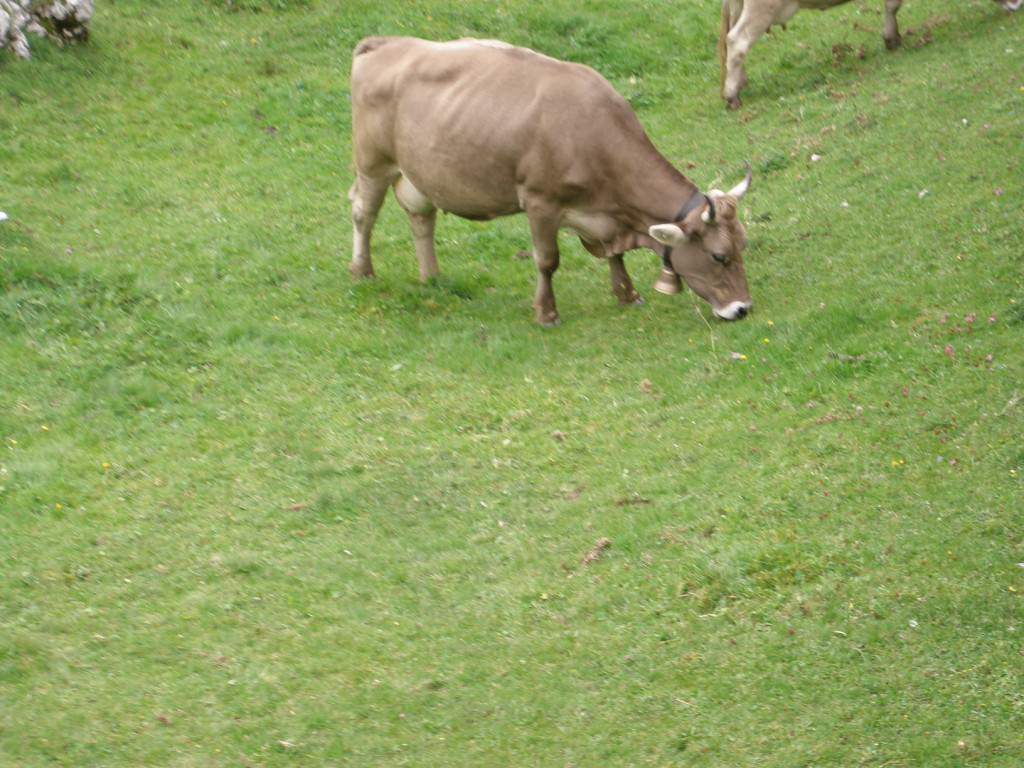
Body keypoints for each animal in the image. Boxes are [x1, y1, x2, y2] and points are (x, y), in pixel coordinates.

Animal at [348, 36, 757, 325]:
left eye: (743, 245)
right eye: (718, 256)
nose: (743, 308)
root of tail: (385, 42)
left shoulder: (606, 216)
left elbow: (615, 255)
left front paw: (627, 294)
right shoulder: (539, 201)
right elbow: (547, 260)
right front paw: (546, 313)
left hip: (417, 172)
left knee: (421, 217)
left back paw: (431, 277)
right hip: (372, 162)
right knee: (363, 211)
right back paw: (362, 271)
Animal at [720, 0, 1024, 109]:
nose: (1017, 4)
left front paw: (892, 37)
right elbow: (894, 5)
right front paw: (891, 38)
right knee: (737, 40)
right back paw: (732, 95)